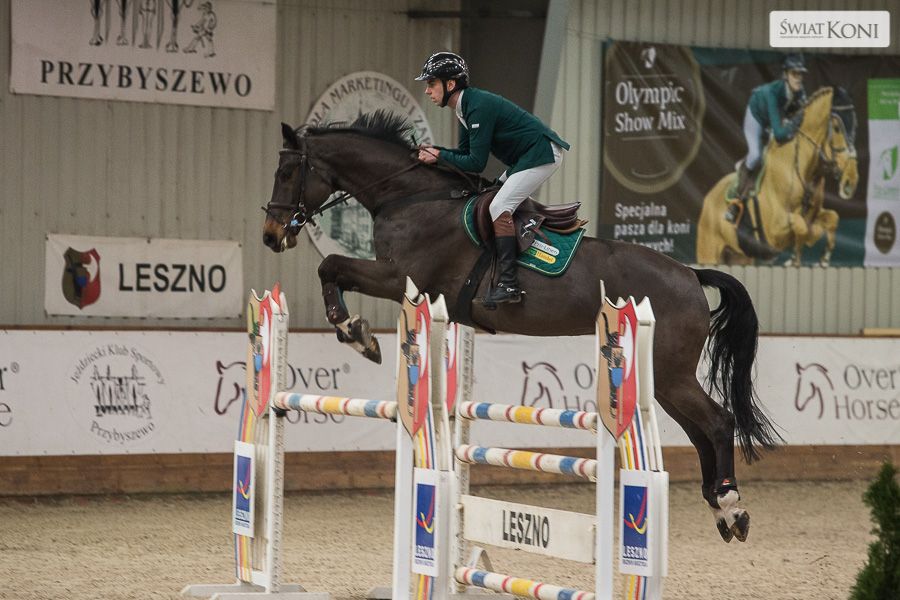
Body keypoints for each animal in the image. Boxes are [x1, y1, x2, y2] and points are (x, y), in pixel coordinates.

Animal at [262, 111, 781, 543]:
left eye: (286, 173)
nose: (271, 236)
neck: (412, 196)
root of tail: (691, 274)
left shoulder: (400, 278)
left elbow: (330, 264)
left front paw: (357, 333)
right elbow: (332, 269)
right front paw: (356, 332)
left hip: (671, 373)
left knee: (718, 422)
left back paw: (731, 506)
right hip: (664, 379)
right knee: (700, 431)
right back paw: (721, 509)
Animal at [696, 87, 860, 266]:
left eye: (855, 125)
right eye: (836, 128)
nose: (850, 181)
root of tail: (708, 197)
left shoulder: (813, 215)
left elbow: (832, 218)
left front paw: (823, 260)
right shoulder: (773, 232)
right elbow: (802, 226)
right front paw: (795, 258)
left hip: (740, 257)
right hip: (708, 252)